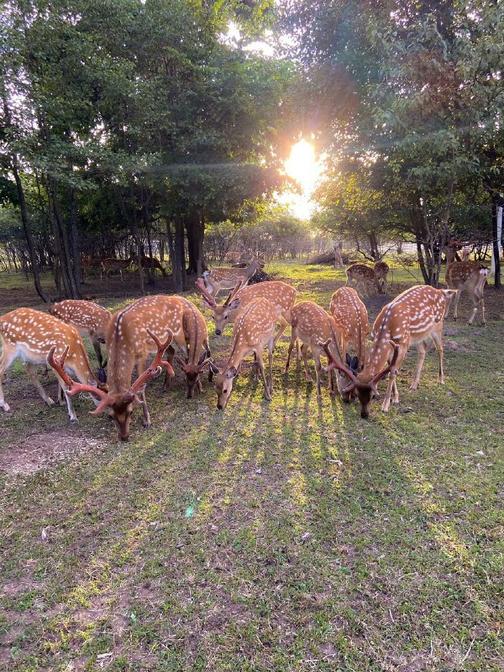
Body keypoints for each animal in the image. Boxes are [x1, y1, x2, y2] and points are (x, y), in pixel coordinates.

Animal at [318, 282, 456, 414]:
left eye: (372, 395)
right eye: (357, 392)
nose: (347, 400)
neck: (385, 329)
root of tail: (441, 291)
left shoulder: (403, 343)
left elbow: (393, 371)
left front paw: (387, 404)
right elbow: (390, 367)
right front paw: (395, 397)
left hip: (438, 325)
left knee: (440, 349)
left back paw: (441, 379)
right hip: (418, 335)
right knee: (422, 351)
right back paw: (414, 385)